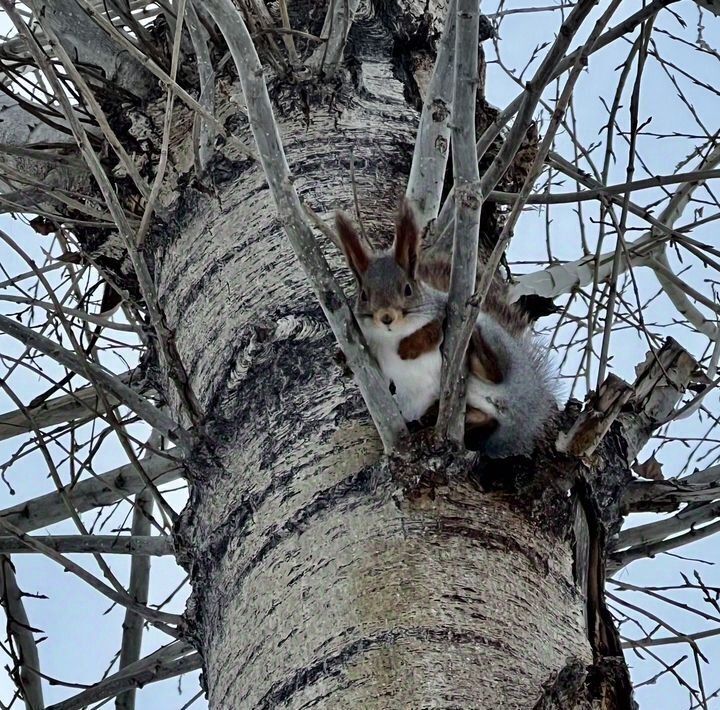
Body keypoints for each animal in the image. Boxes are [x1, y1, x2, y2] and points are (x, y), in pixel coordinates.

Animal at [334, 199, 560, 462]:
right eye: (364, 295)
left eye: (408, 289)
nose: (386, 317)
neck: (392, 337)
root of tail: (525, 412)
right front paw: (343, 360)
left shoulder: (442, 309)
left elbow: (431, 332)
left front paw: (408, 348)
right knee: (483, 421)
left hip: (498, 341)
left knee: (495, 369)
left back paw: (477, 347)